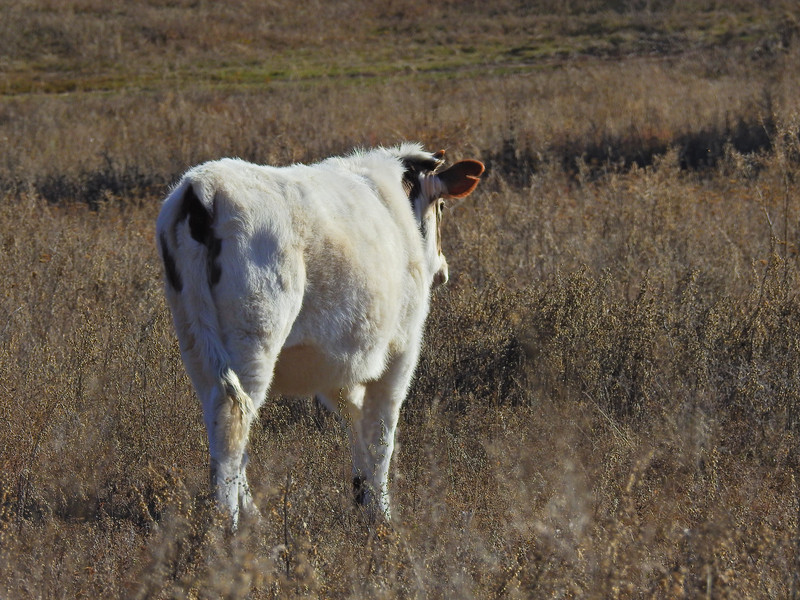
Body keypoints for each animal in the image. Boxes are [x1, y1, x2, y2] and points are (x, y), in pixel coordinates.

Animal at [156, 144, 484, 528]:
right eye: (442, 207)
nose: (443, 270)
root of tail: (203, 187)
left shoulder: (337, 362)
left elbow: (355, 420)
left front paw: (362, 495)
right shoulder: (401, 350)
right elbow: (381, 434)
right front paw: (382, 514)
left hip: (195, 340)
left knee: (225, 420)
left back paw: (252, 516)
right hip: (255, 338)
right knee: (234, 416)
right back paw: (229, 522)